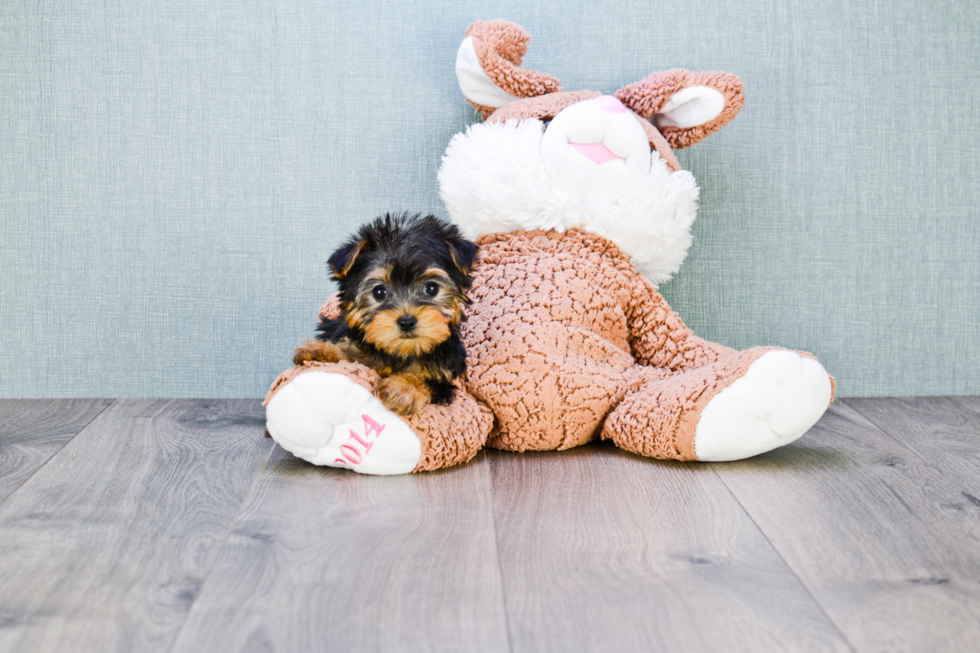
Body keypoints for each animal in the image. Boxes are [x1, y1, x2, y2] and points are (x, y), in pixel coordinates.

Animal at [294, 214, 478, 418]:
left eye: (431, 288)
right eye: (379, 292)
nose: (406, 321)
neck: (402, 352)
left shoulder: (446, 377)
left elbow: (429, 382)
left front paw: (404, 389)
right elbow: (354, 357)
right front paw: (322, 350)